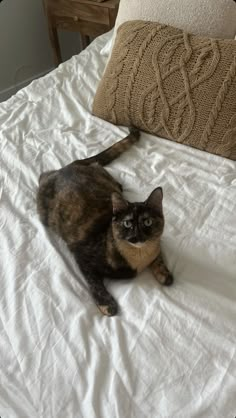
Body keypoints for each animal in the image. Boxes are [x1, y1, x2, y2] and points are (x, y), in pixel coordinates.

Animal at [37, 129, 173, 316]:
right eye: (127, 223)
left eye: (147, 222)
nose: (137, 236)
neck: (139, 257)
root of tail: (67, 167)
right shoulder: (81, 254)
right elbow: (94, 281)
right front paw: (106, 303)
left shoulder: (156, 245)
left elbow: (158, 255)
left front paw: (164, 273)